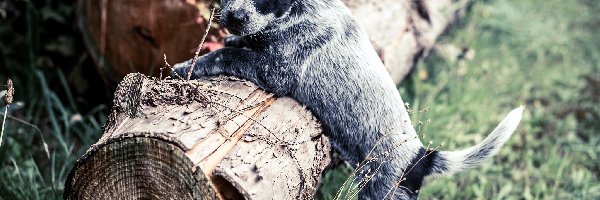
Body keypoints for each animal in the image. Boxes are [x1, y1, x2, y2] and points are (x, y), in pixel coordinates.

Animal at [171, 0, 524, 198]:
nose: (232, 18)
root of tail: (420, 156)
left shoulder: (275, 72)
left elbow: (225, 54)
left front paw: (186, 66)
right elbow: (240, 44)